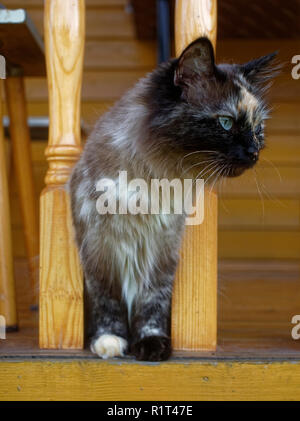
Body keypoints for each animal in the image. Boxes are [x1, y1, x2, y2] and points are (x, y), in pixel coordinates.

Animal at [68, 37, 278, 360]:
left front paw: (151, 345)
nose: (254, 153)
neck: (158, 181)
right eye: (226, 123)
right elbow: (108, 302)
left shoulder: (162, 252)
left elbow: (152, 304)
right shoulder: (99, 250)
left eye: (258, 129)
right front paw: (110, 342)